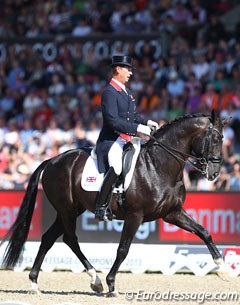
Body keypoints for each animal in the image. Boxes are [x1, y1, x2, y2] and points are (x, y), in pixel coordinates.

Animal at [0, 110, 229, 296]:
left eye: (223, 139)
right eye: (214, 138)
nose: (214, 174)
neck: (158, 165)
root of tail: (52, 160)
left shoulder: (172, 213)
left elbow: (203, 231)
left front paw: (223, 269)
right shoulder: (135, 216)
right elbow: (123, 249)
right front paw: (111, 284)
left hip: (71, 210)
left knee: (49, 238)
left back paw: (37, 283)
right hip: (67, 209)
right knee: (70, 238)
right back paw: (96, 280)